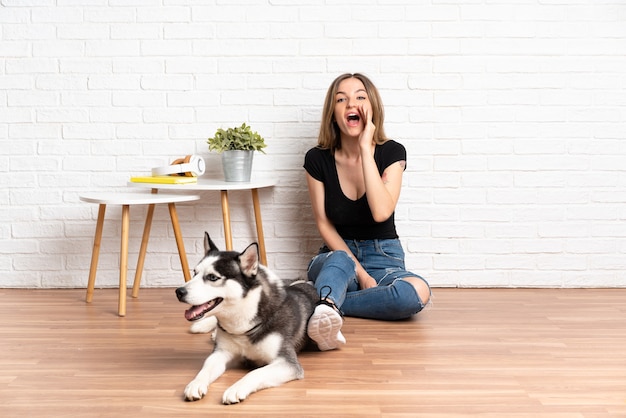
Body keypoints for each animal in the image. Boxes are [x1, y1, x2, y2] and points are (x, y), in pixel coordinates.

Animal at [176, 233, 316, 404]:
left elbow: (256, 372)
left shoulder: (287, 362)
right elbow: (205, 368)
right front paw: (196, 383)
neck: (242, 325)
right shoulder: (221, 352)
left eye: (212, 277)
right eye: (194, 273)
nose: (179, 291)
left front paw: (236, 388)